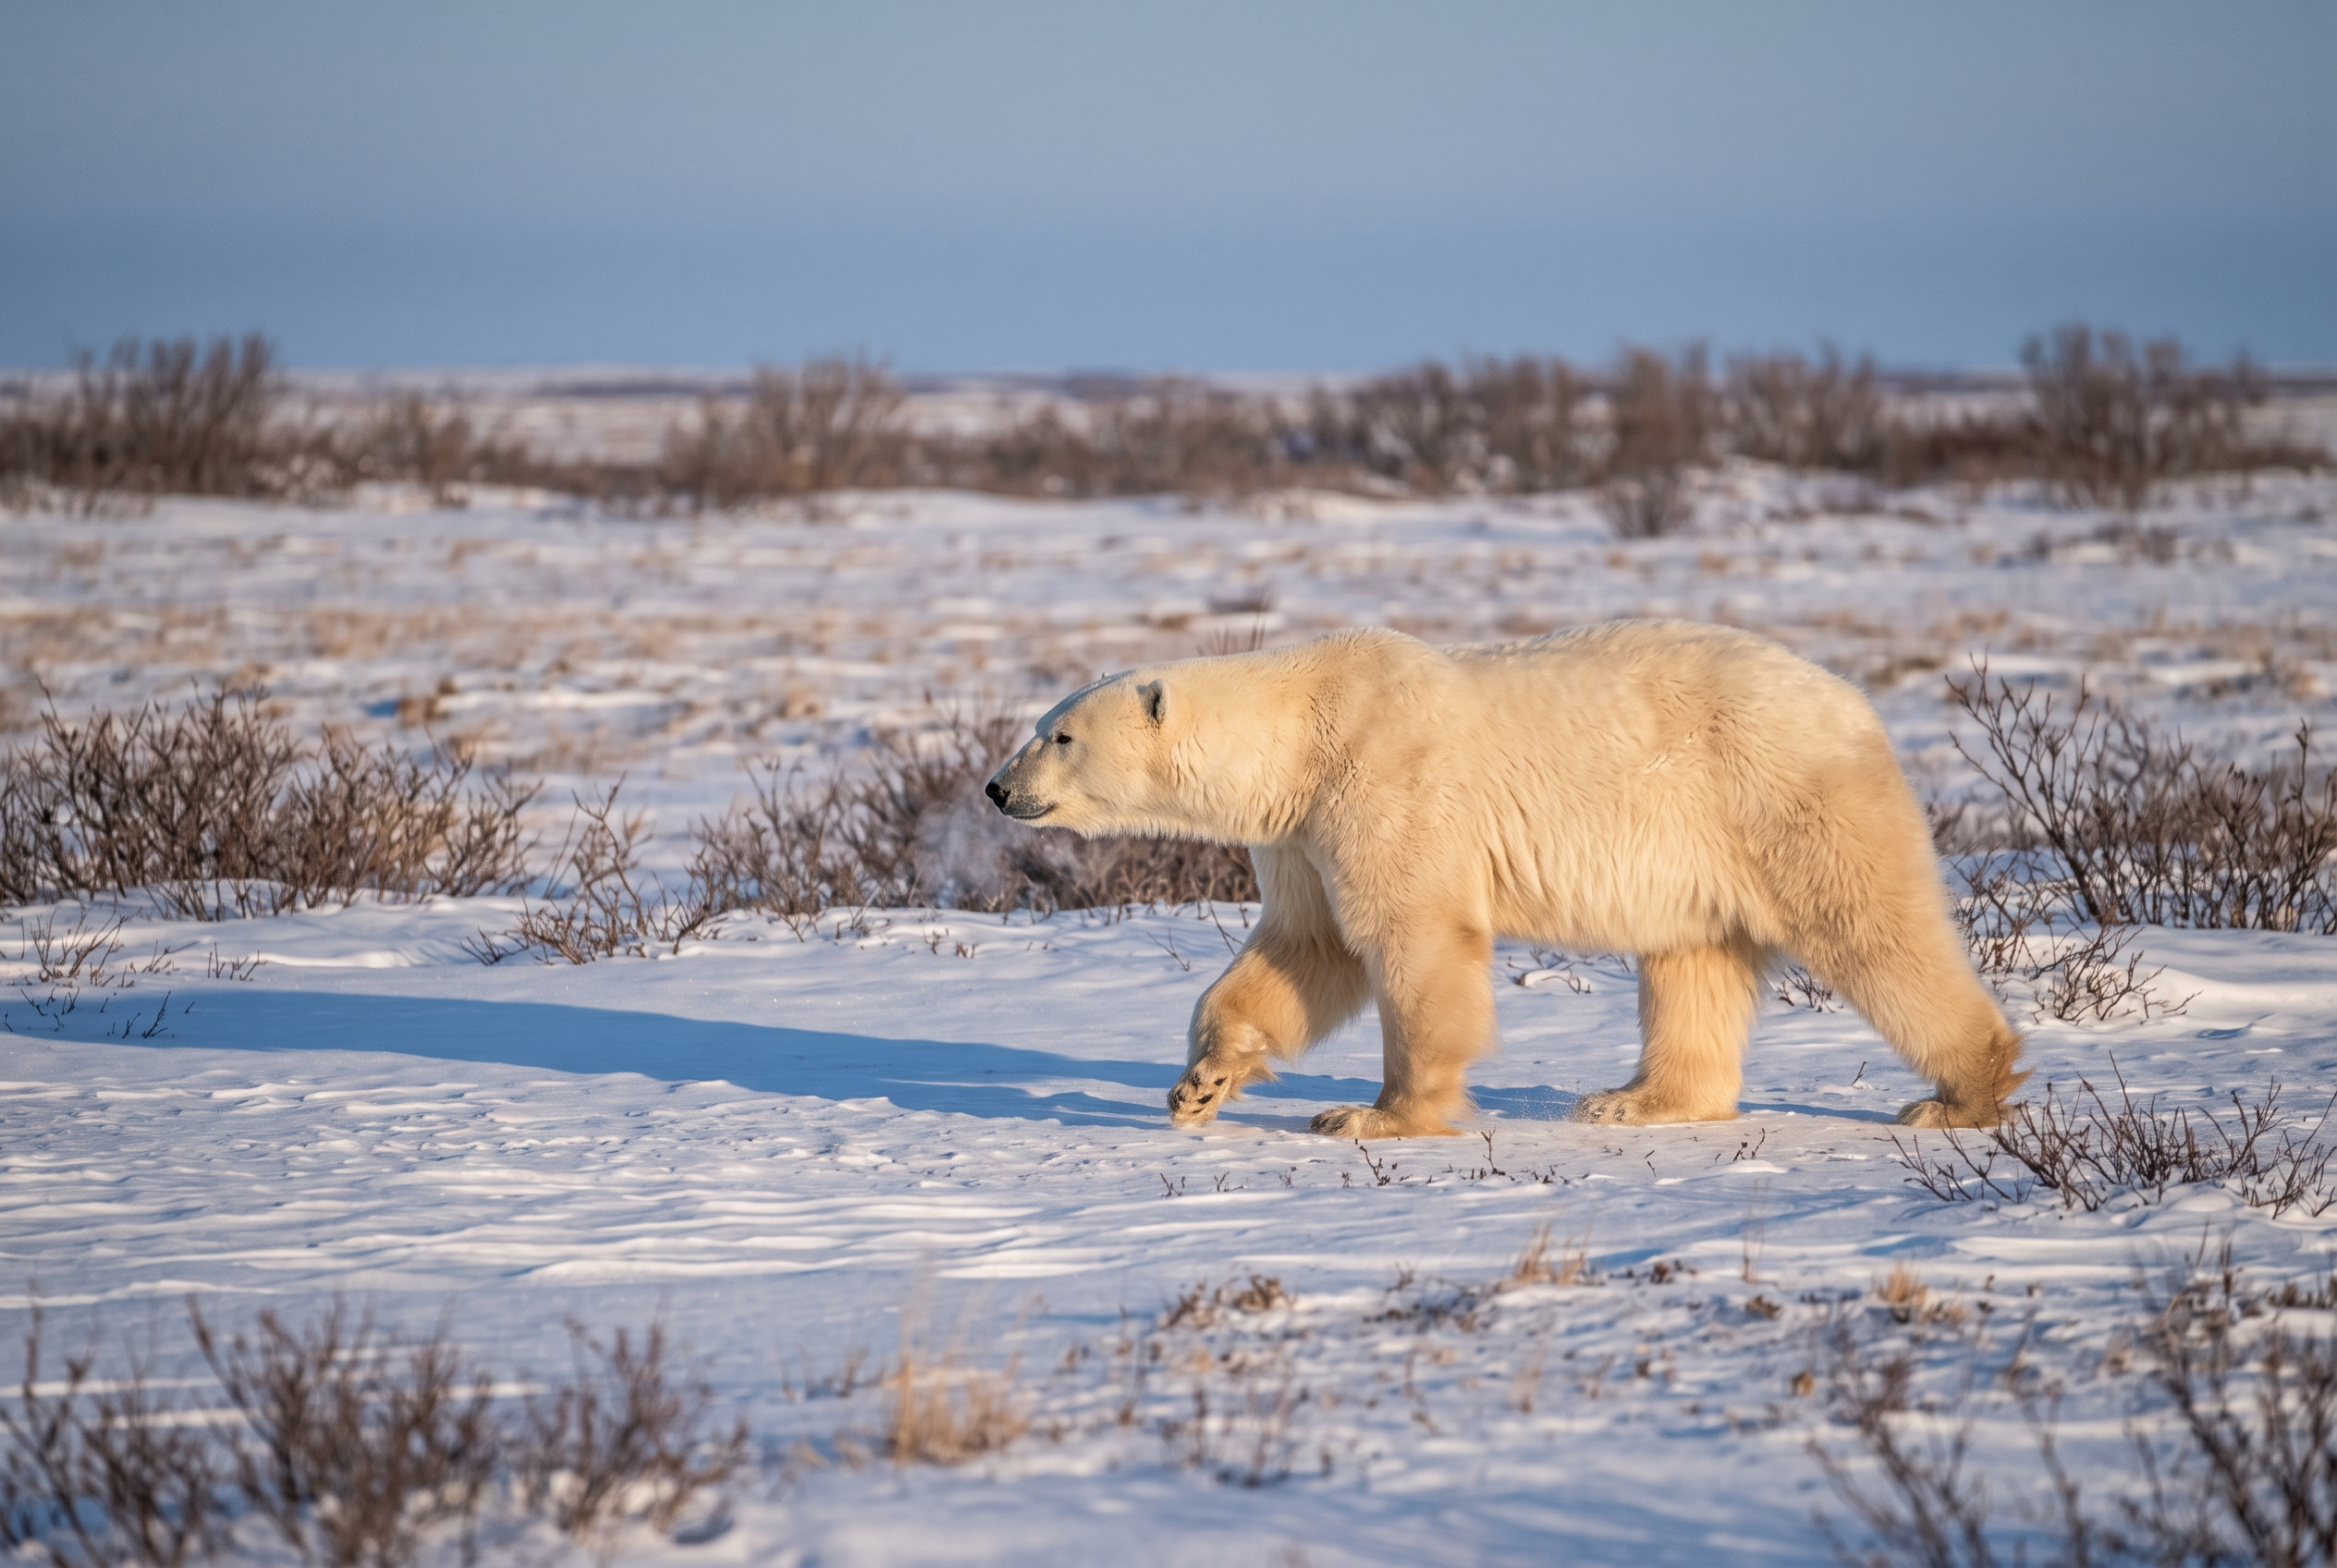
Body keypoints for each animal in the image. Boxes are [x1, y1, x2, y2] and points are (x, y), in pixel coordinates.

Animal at [983, 620, 2025, 1138]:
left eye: (1057, 734)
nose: (996, 786)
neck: (1304, 725)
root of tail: (1857, 704)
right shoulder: (1302, 831)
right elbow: (1303, 949)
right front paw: (1200, 1084)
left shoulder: (1384, 780)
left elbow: (1409, 941)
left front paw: (1372, 1114)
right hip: (1697, 846)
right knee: (1690, 960)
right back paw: (1634, 1099)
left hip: (1779, 796)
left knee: (1872, 930)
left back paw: (1959, 1094)